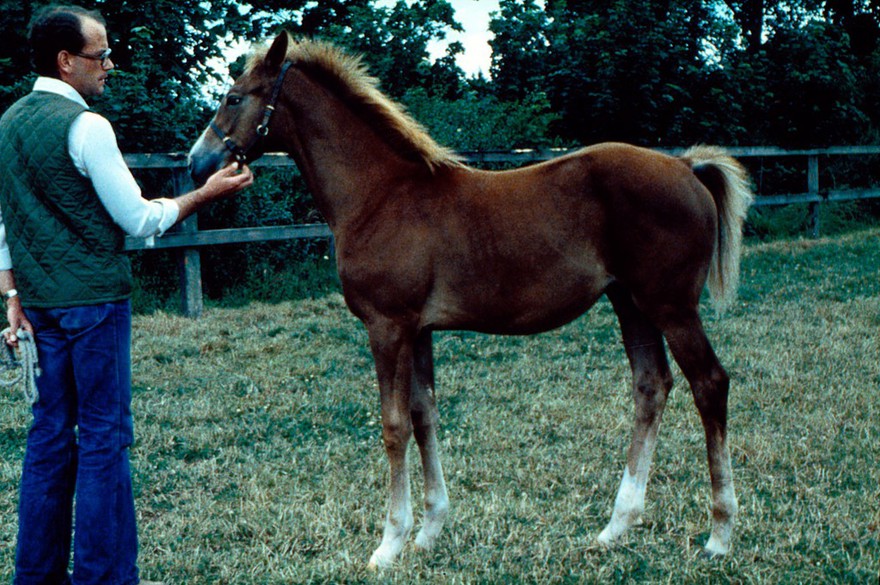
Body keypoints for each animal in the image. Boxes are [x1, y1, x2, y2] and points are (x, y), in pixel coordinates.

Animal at [188, 32, 753, 568]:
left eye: (234, 96)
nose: (199, 163)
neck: (380, 195)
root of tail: (686, 166)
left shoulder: (387, 326)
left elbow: (394, 425)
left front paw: (389, 544)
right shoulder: (419, 330)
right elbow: (424, 417)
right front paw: (428, 532)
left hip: (671, 306)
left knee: (709, 383)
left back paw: (720, 534)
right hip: (630, 303)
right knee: (651, 386)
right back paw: (616, 527)